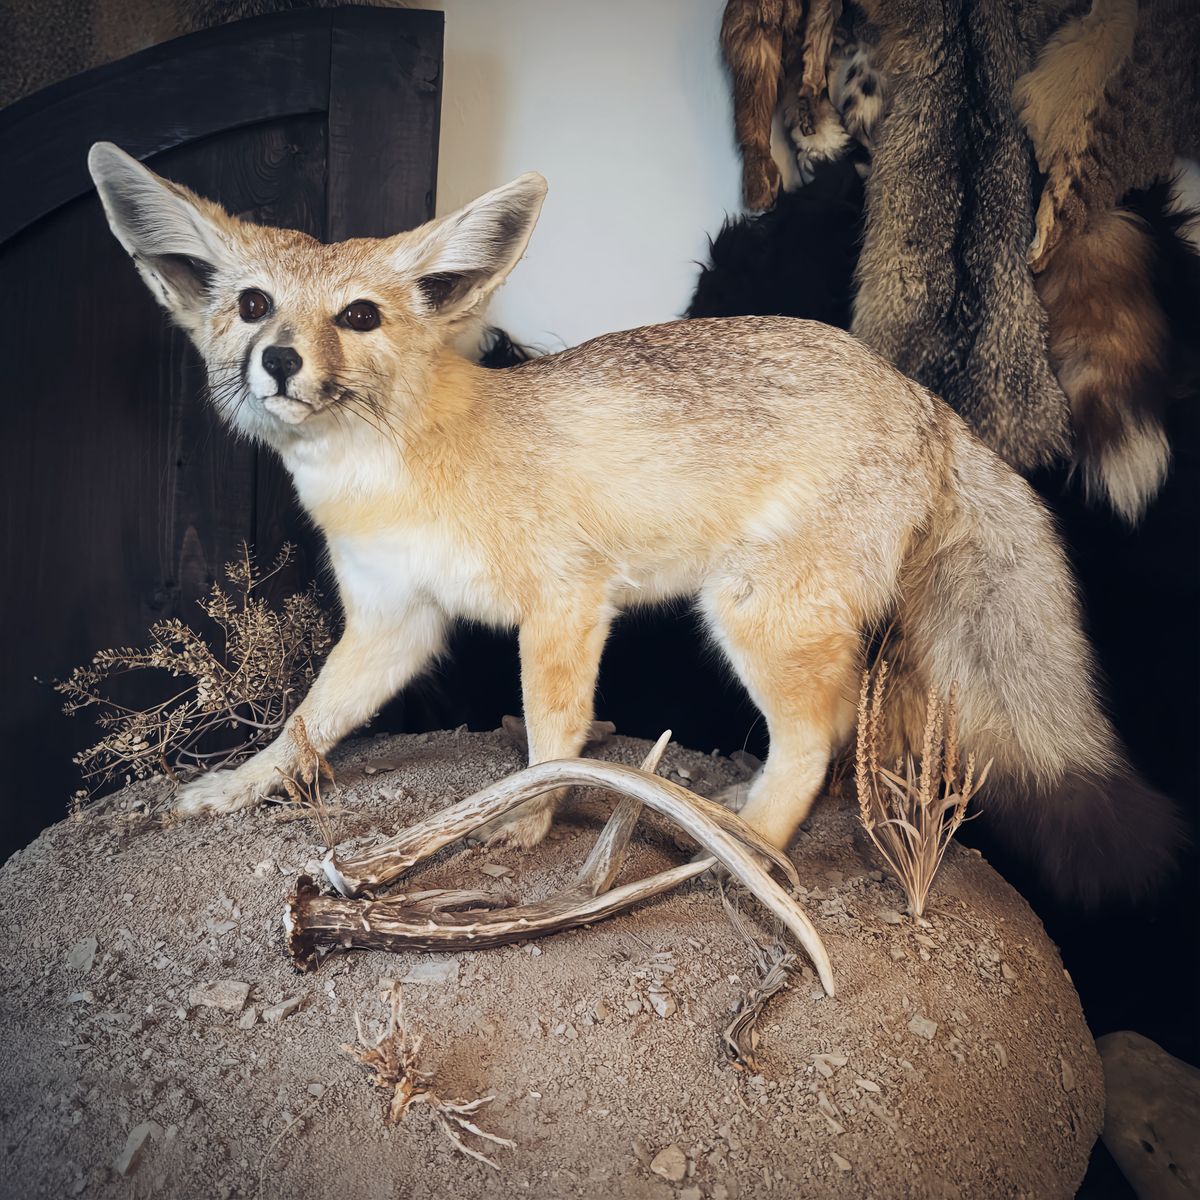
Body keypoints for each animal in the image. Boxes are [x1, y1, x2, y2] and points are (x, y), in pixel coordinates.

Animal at [87, 141, 1180, 904]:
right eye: (253, 305)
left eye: (359, 317)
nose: (276, 361)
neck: (400, 471)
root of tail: (926, 403)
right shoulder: (397, 621)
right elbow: (309, 722)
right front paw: (239, 786)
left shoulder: (565, 604)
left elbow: (553, 739)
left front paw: (527, 827)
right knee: (830, 737)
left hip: (751, 618)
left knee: (816, 740)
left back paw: (746, 846)